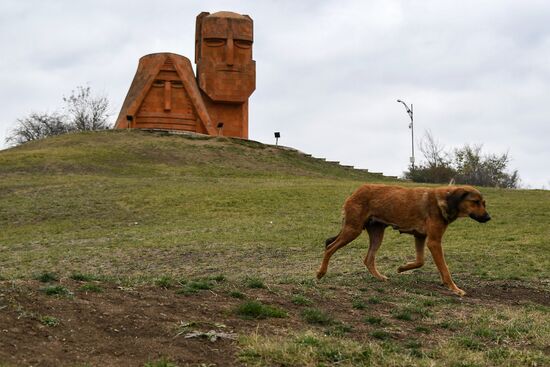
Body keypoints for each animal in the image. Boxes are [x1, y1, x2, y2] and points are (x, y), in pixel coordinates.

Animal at [316, 184, 494, 296]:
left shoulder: (420, 237)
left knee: (368, 259)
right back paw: (320, 273)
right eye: (475, 202)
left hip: (376, 234)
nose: (488, 218)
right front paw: (454, 289)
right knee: (329, 247)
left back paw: (379, 277)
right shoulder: (434, 242)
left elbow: (420, 261)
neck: (443, 201)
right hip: (353, 230)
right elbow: (445, 269)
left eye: (484, 203)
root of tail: (355, 192)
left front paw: (402, 268)